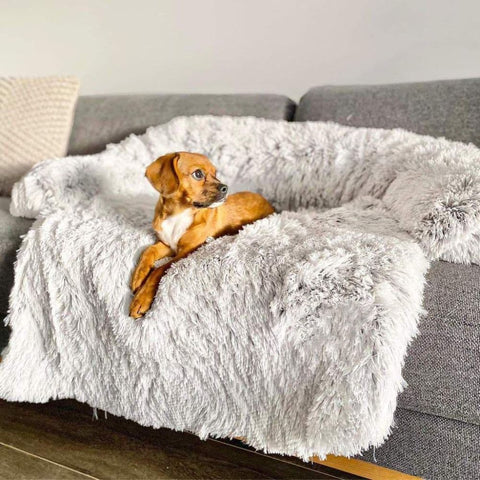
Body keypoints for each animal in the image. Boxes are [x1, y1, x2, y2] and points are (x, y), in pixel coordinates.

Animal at [129, 152, 274, 318]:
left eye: (215, 173)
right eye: (198, 174)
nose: (226, 188)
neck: (179, 214)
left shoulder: (186, 251)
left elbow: (159, 269)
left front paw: (141, 298)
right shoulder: (167, 245)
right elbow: (148, 251)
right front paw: (138, 277)